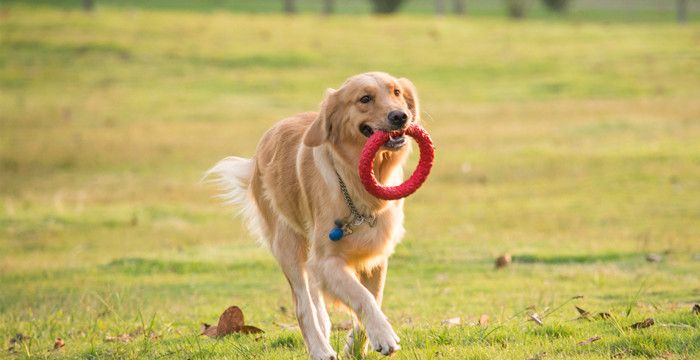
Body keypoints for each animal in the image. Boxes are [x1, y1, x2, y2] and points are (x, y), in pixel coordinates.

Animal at [205, 71, 418, 358]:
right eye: (365, 98)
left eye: (396, 92)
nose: (400, 116)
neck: (354, 182)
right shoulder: (325, 261)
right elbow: (362, 297)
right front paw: (384, 335)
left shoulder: (375, 256)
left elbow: (373, 297)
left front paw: (356, 346)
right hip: (288, 246)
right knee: (303, 306)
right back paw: (319, 348)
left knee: (318, 307)